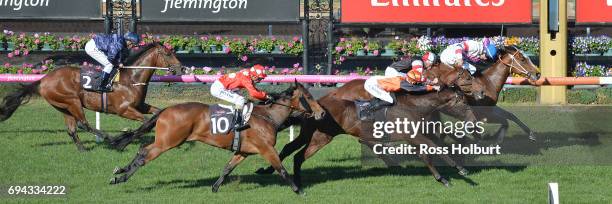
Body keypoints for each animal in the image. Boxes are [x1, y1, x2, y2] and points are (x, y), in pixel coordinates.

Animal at [0, 43, 182, 151]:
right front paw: (123, 140)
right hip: (72, 101)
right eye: (168, 53)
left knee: (72, 129)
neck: (131, 78)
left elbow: (157, 113)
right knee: (83, 124)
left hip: (62, 106)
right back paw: (110, 138)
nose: (181, 68)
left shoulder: (140, 105)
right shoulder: (124, 110)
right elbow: (145, 123)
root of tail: (43, 80)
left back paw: (82, 149)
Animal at [106, 81, 326, 194]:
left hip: (164, 141)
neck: (268, 117)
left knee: (141, 150)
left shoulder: (243, 152)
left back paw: (120, 171)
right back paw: (121, 177)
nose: (322, 113)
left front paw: (215, 187)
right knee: (144, 154)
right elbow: (281, 169)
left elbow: (227, 168)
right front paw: (299, 190)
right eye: (308, 97)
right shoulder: (266, 149)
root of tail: (167, 109)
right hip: (167, 142)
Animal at [256, 66, 480, 187]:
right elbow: (434, 149)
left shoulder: (415, 136)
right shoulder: (413, 135)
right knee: (298, 155)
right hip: (321, 137)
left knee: (289, 149)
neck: (414, 104)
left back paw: (269, 170)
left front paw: (448, 174)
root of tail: (317, 105)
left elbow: (432, 150)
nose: (473, 120)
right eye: (462, 102)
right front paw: (455, 173)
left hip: (309, 134)